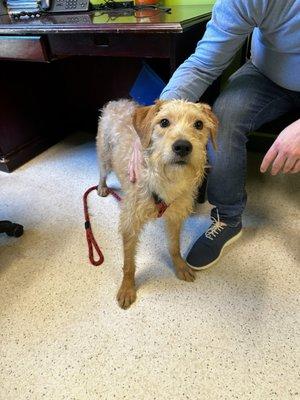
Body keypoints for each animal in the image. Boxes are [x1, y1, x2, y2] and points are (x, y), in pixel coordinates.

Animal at [97, 99, 217, 310]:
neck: (165, 182)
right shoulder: (130, 223)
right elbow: (129, 264)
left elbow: (174, 247)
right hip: (105, 156)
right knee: (102, 172)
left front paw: (180, 266)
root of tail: (117, 102)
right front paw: (127, 288)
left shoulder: (175, 217)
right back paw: (102, 187)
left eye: (199, 124)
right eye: (164, 122)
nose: (182, 146)